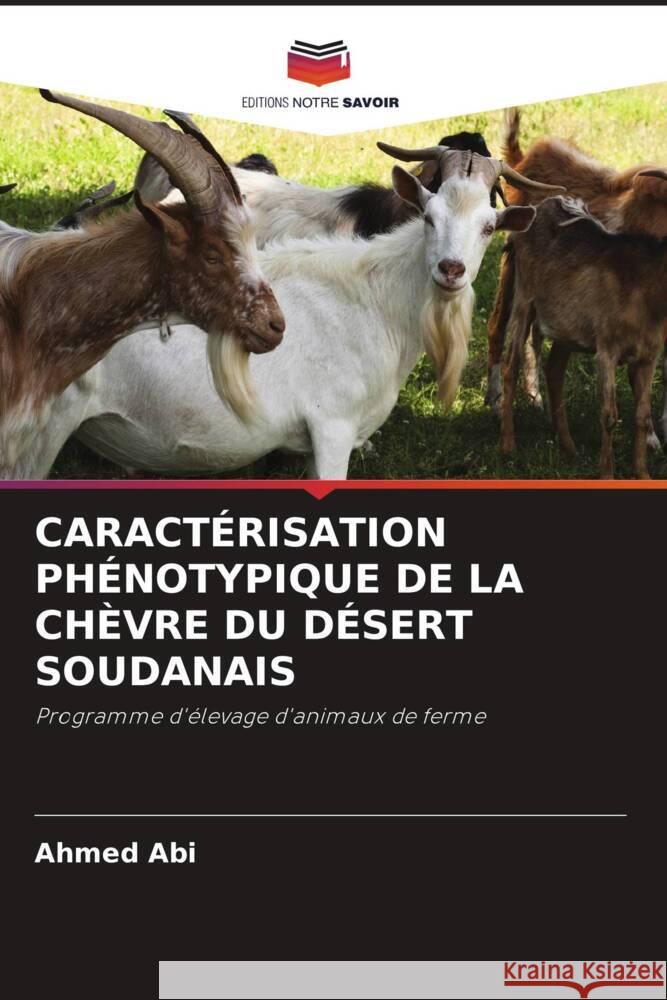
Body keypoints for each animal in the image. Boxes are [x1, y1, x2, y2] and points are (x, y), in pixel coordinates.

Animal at [486, 107, 667, 441]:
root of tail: (524, 158)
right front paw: (651, 438)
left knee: (535, 331)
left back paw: (536, 399)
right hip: (514, 268)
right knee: (497, 325)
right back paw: (496, 404)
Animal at [500, 197, 667, 478]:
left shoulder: (649, 355)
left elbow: (642, 416)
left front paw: (643, 474)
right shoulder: (607, 348)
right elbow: (609, 415)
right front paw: (607, 474)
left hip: (566, 325)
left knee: (554, 370)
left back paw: (568, 447)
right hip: (524, 297)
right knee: (510, 365)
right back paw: (509, 445)